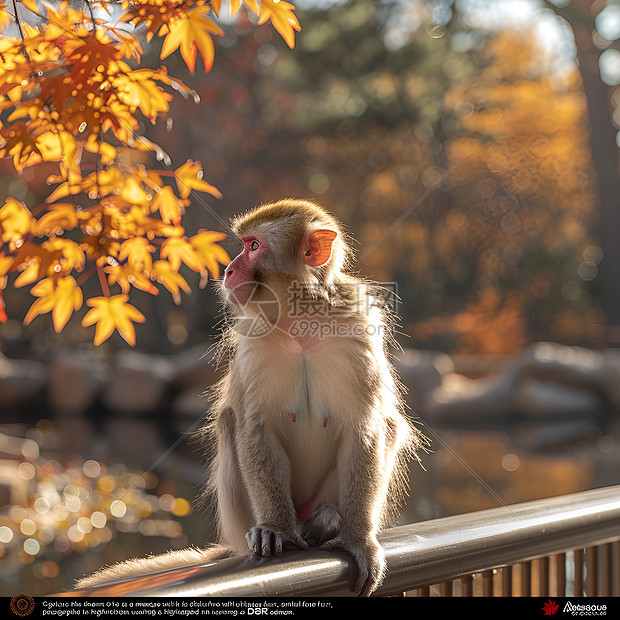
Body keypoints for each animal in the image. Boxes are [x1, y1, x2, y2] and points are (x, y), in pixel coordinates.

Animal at [76, 199, 426, 596]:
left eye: (254, 246)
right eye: (243, 244)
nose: (229, 269)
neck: (301, 322)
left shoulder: (357, 330)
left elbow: (364, 429)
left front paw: (358, 538)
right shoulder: (255, 344)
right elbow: (255, 428)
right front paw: (276, 529)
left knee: (389, 426)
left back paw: (328, 520)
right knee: (231, 421)